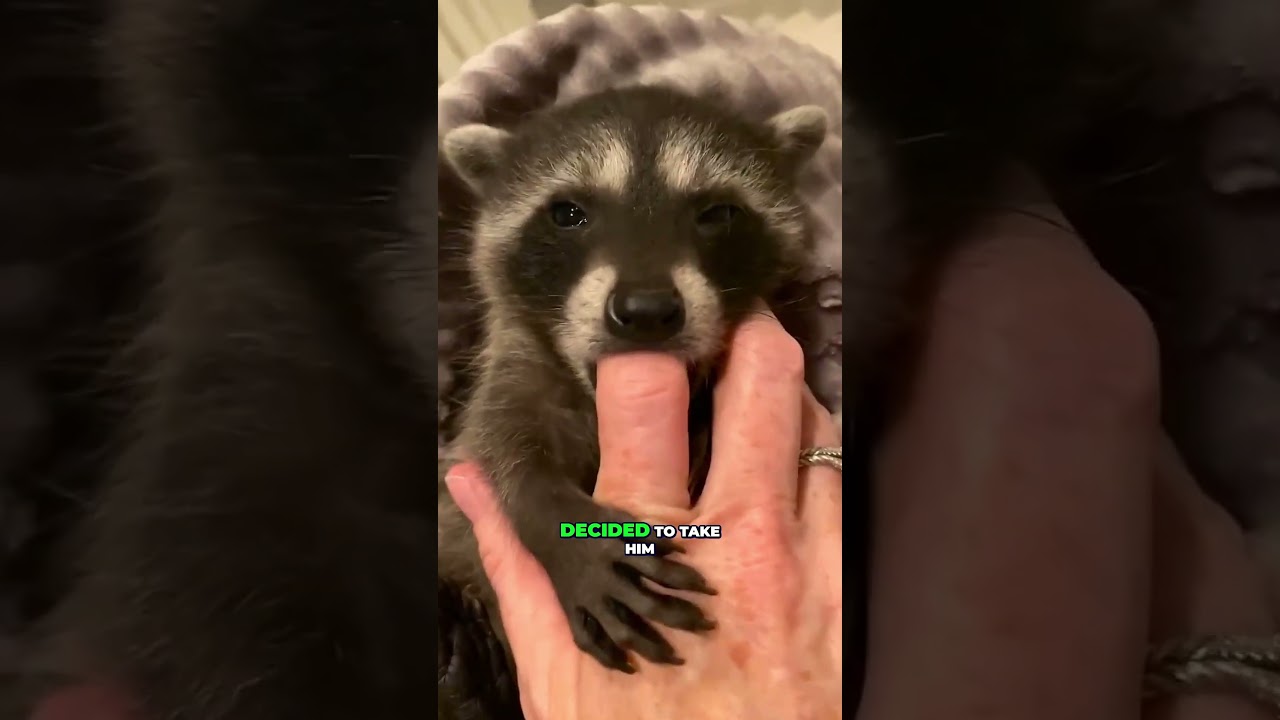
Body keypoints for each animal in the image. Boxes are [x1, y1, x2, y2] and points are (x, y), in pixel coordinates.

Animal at [437, 85, 843, 673]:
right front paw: (558, 523)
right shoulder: (514, 368)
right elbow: (499, 448)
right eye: (568, 214)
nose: (647, 310)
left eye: (717, 213)